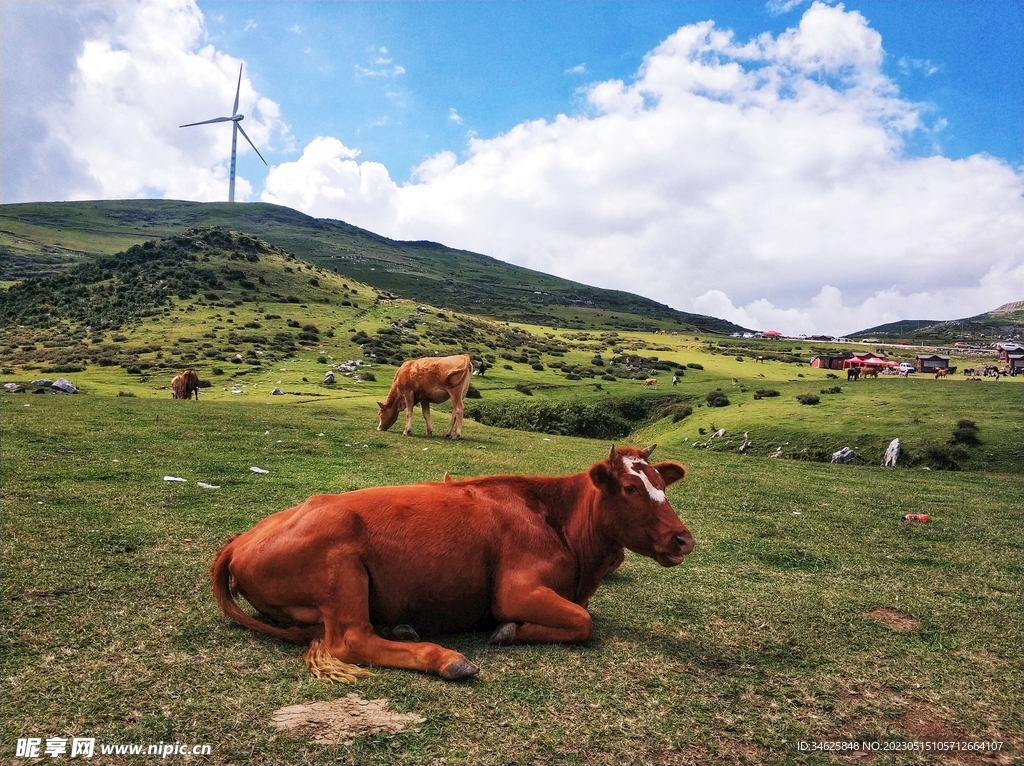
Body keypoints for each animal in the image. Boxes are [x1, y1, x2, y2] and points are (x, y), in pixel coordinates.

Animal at [212, 446, 700, 679]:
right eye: (631, 489)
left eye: (661, 484)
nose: (684, 538)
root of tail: (238, 542)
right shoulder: (515, 590)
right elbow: (584, 622)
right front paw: (508, 631)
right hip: (342, 563)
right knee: (350, 640)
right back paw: (446, 659)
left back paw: (402, 628)